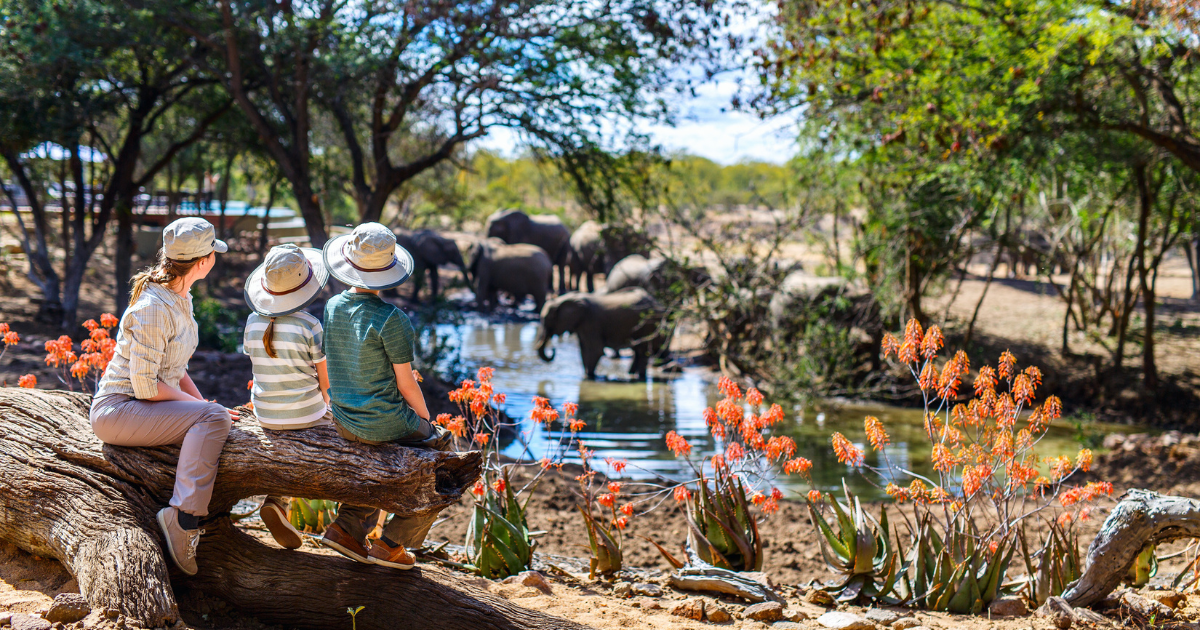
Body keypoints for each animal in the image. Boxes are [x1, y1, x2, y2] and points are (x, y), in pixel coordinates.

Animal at [535, 285, 667, 379]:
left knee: (642, 350)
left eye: (548, 319)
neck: (563, 300)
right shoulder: (583, 324)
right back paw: (630, 374)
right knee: (638, 350)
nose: (553, 350)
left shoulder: (591, 322)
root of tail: (656, 302)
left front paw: (589, 377)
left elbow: (596, 350)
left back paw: (639, 377)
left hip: (647, 323)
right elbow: (584, 350)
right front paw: (587, 376)